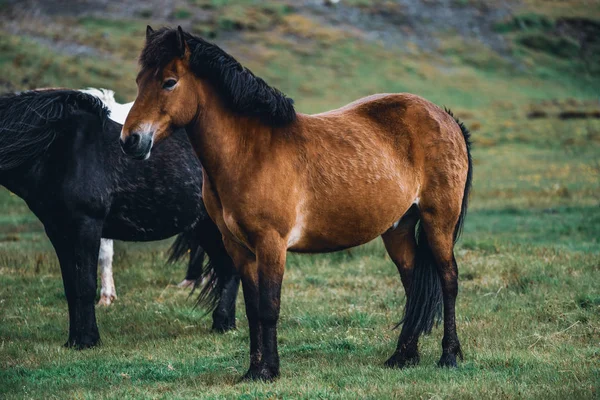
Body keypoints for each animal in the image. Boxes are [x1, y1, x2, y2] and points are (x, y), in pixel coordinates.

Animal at [0, 89, 239, 348]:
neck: (59, 150)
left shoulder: (87, 226)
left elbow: (86, 284)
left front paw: (88, 340)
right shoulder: (58, 231)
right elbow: (71, 286)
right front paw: (74, 340)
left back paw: (224, 323)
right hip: (204, 227)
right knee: (227, 268)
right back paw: (223, 324)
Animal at [120, 25, 474, 382]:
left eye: (169, 81)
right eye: (139, 80)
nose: (130, 140)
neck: (250, 153)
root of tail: (446, 118)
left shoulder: (271, 244)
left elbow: (269, 307)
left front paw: (269, 371)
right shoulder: (239, 248)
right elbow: (252, 309)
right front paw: (254, 370)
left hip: (438, 222)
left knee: (448, 280)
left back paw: (449, 355)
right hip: (398, 228)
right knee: (413, 284)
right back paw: (403, 356)